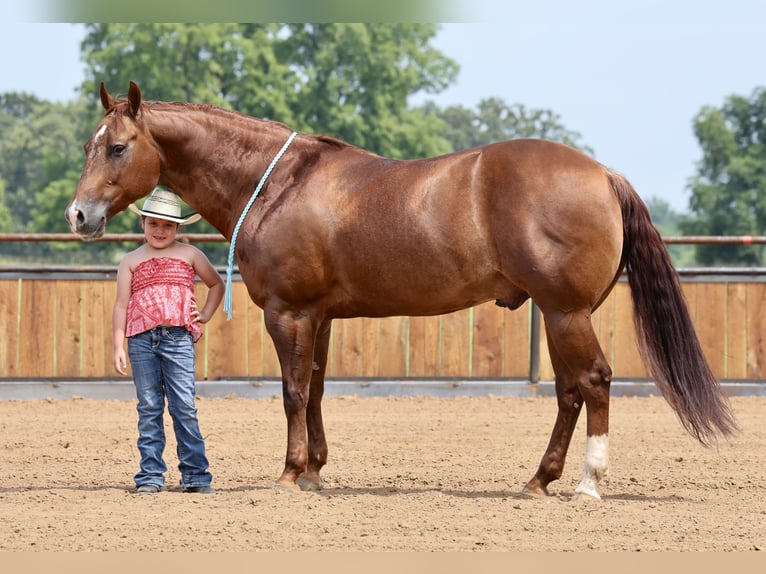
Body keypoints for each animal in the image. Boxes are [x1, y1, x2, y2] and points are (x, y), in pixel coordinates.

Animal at [66, 81, 737, 500]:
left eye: (118, 146)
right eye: (88, 145)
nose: (78, 215)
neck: (277, 184)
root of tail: (602, 173)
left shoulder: (289, 313)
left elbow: (291, 391)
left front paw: (289, 475)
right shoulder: (320, 316)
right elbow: (315, 389)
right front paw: (314, 472)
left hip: (567, 312)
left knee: (593, 382)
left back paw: (588, 483)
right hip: (557, 315)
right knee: (570, 391)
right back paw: (538, 480)